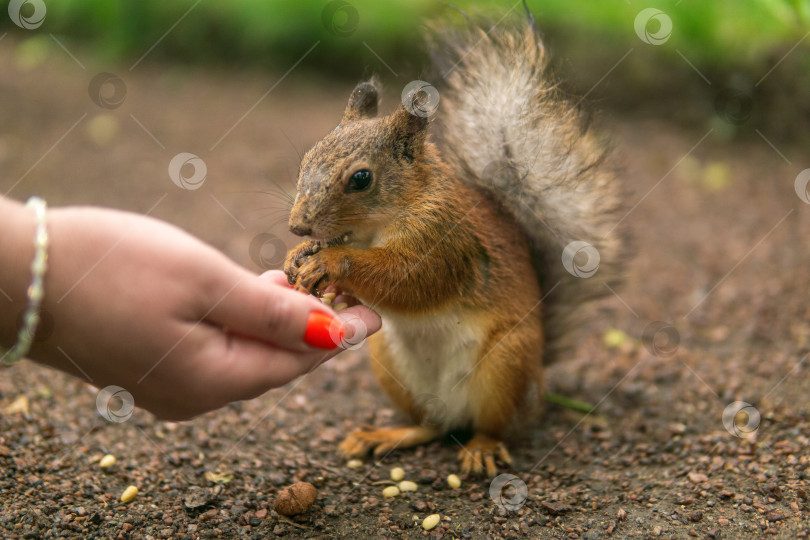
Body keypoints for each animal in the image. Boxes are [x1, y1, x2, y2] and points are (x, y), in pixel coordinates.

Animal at [280, 13, 620, 476]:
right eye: (306, 160)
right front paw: (300, 259)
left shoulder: (445, 239)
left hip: (505, 362)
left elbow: (411, 281)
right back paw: (386, 435)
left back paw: (482, 448)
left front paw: (332, 262)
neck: (379, 225)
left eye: (361, 179)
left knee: (493, 425)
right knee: (431, 426)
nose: (298, 227)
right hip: (390, 363)